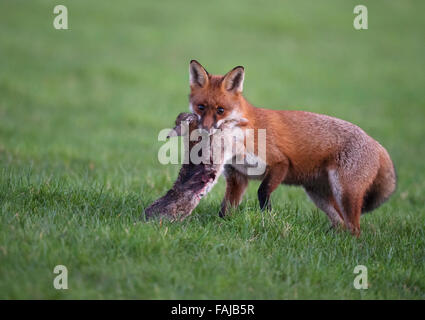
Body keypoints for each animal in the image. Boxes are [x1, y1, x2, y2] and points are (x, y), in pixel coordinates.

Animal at [187, 60, 396, 236]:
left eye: (220, 110)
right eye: (201, 107)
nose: (205, 129)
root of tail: (377, 143)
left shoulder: (280, 163)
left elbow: (263, 193)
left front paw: (267, 220)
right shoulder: (237, 178)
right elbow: (225, 210)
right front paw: (221, 227)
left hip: (345, 193)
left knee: (355, 228)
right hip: (318, 194)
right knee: (341, 223)